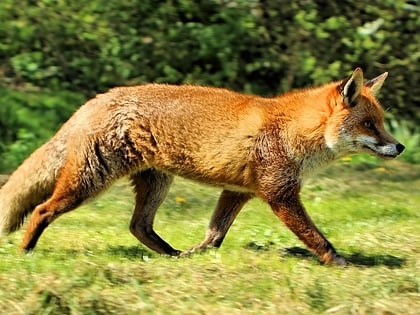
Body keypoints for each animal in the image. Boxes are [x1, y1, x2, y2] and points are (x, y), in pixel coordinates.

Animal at [0, 68, 404, 266]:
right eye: (370, 124)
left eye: (382, 123)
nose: (399, 146)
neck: (293, 129)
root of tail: (95, 100)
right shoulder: (280, 193)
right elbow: (316, 236)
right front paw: (339, 262)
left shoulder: (239, 192)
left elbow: (215, 235)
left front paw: (199, 255)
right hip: (89, 181)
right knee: (42, 209)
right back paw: (24, 253)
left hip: (155, 184)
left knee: (138, 226)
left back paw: (171, 257)